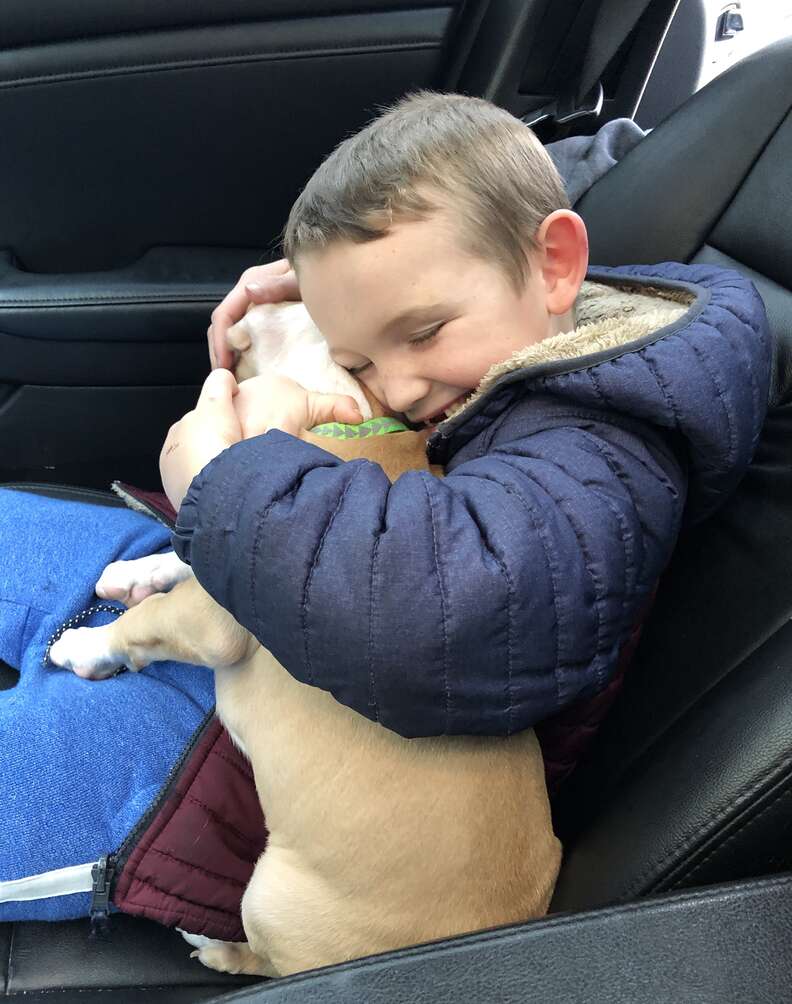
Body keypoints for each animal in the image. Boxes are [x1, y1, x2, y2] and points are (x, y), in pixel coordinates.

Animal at [47, 301, 562, 975]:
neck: (349, 411)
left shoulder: (219, 612)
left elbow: (149, 620)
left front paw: (87, 646)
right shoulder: (229, 547)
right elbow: (179, 561)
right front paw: (135, 575)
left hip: (270, 896)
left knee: (264, 962)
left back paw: (216, 947)